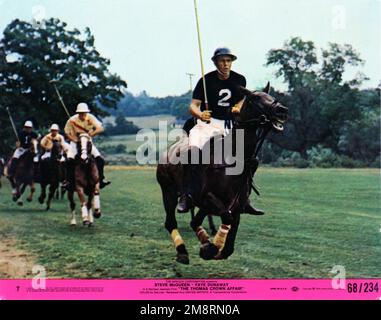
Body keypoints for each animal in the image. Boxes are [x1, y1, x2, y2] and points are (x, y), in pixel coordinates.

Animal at [156, 83, 286, 264]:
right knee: (170, 222)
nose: (282, 110)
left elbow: (228, 243)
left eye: (271, 97)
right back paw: (182, 251)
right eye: (255, 98)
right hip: (167, 191)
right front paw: (210, 247)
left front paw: (212, 247)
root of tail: (167, 151)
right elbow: (220, 219)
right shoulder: (208, 198)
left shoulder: (235, 206)